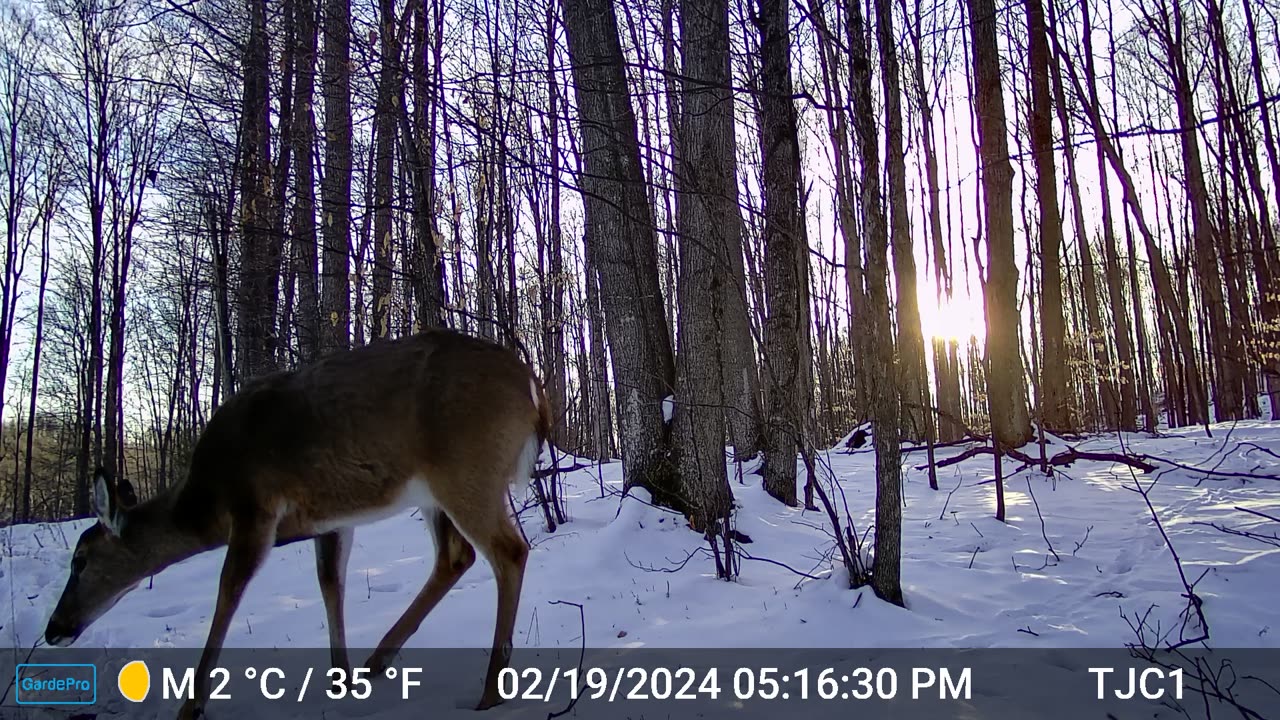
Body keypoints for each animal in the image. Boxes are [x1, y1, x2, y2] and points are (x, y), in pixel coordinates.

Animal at [40, 327, 547, 712]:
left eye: (80, 560)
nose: (54, 629)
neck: (206, 502)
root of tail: (531, 386)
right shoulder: (331, 518)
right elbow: (330, 583)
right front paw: (341, 678)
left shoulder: (255, 507)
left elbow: (228, 592)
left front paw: (191, 706)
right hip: (435, 491)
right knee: (455, 557)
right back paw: (377, 662)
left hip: (465, 471)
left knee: (508, 551)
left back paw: (490, 691)